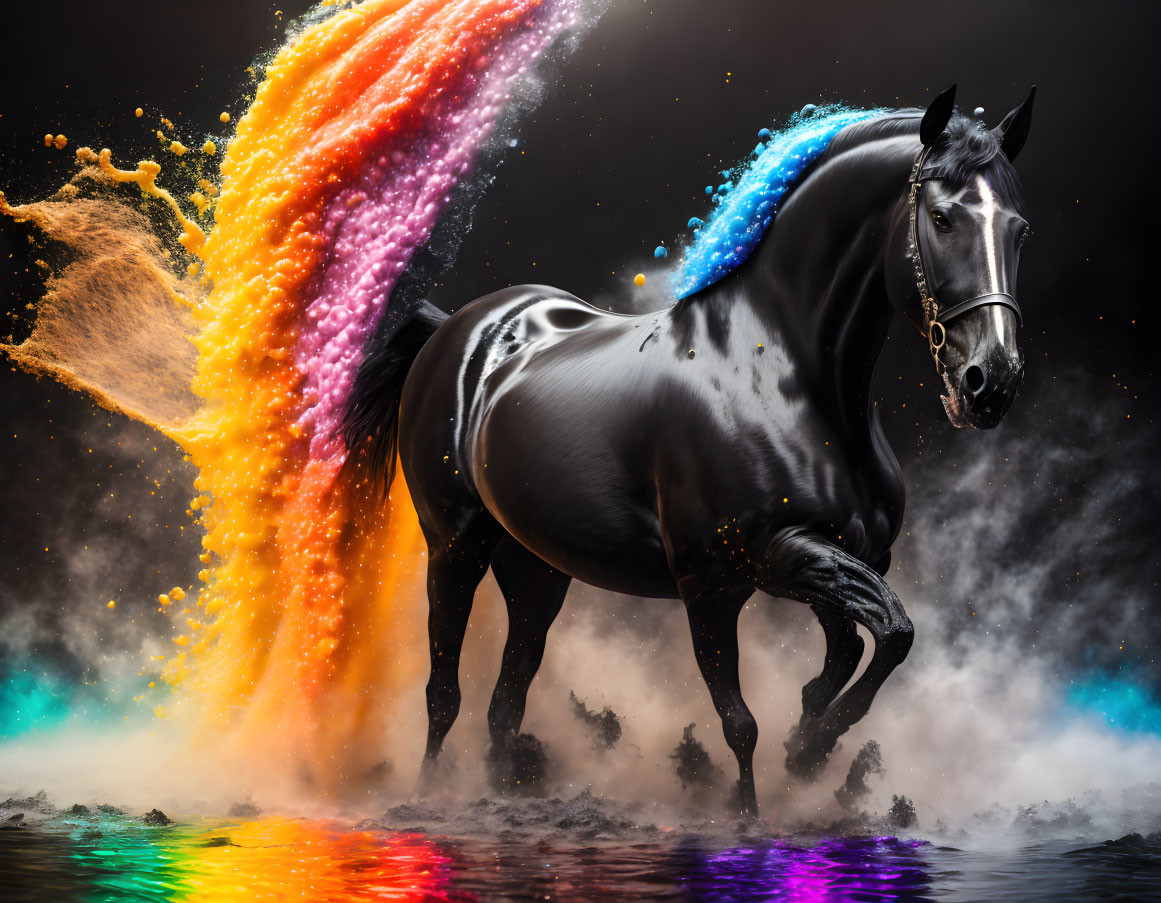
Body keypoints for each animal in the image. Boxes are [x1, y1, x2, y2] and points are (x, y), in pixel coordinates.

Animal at [341, 84, 1035, 812]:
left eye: (1019, 229)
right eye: (942, 218)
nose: (991, 383)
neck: (778, 373)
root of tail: (456, 328)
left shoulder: (839, 558)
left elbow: (867, 641)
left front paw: (807, 747)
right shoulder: (717, 581)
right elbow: (749, 716)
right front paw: (763, 799)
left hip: (536, 564)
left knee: (509, 694)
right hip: (455, 545)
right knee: (443, 689)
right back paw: (427, 795)